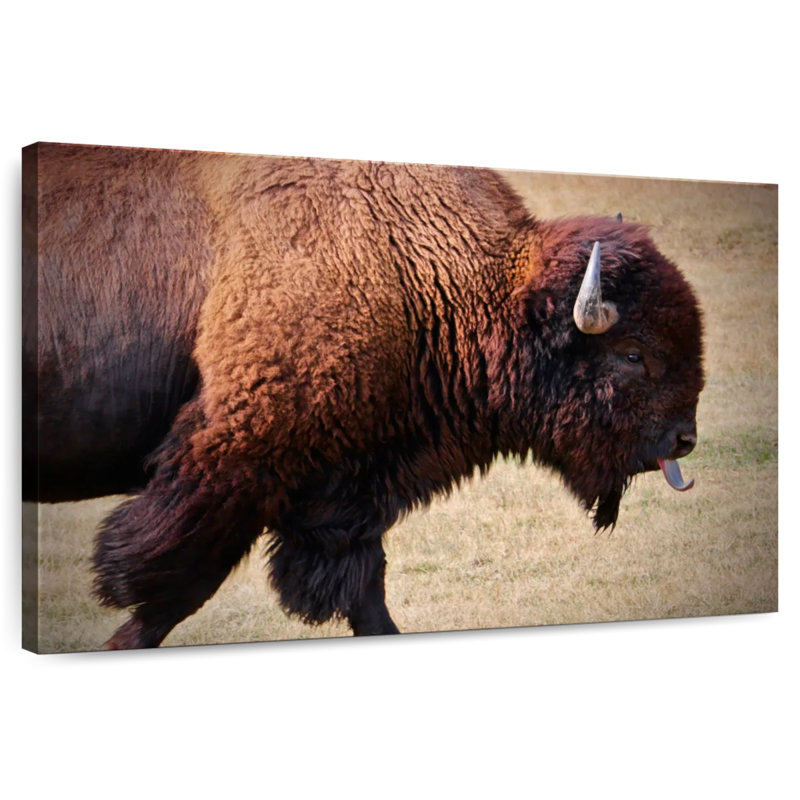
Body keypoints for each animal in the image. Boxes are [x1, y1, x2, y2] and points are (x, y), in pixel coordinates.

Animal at [22, 143, 704, 649]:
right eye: (632, 353)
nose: (684, 439)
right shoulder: (235, 464)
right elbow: (173, 580)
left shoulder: (346, 488)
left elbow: (364, 589)